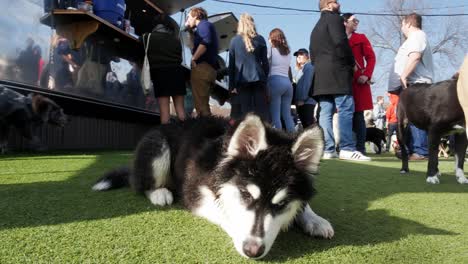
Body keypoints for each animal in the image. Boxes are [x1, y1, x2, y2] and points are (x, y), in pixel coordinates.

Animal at [92, 114, 332, 258]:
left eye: (281, 204)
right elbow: (225, 211)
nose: (252, 250)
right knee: (142, 184)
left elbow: (303, 204)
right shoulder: (194, 191)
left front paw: (314, 219)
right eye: (245, 195)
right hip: (157, 147)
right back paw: (160, 193)